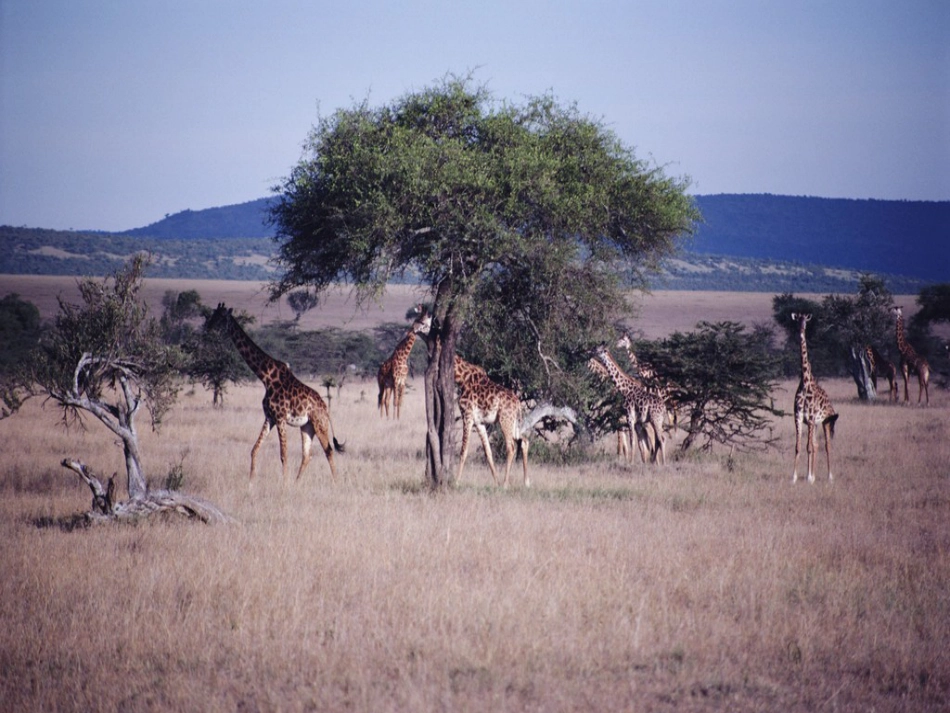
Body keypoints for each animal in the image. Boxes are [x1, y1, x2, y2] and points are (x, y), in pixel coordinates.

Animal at [208, 304, 346, 482]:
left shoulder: (280, 418)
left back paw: (336, 483)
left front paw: (283, 484)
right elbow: (254, 449)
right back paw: (297, 483)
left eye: (220, 317)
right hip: (307, 426)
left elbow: (283, 455)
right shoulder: (270, 417)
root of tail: (326, 409)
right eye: (213, 315)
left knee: (328, 450)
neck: (266, 377)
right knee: (306, 455)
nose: (208, 328)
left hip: (319, 424)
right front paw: (251, 482)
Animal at [452, 356, 528, 490]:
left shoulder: (467, 416)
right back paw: (526, 482)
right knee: (524, 441)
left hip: (505, 420)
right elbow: (488, 452)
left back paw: (505, 484)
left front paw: (456, 482)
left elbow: (463, 451)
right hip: (513, 422)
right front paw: (496, 482)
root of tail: (518, 403)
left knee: (511, 447)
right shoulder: (479, 422)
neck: (461, 378)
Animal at [792, 312, 836, 484]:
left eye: (806, 319)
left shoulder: (810, 419)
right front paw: (795, 477)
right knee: (817, 445)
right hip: (817, 424)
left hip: (825, 422)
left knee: (827, 445)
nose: (801, 328)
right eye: (797, 319)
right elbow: (799, 447)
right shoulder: (799, 417)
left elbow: (808, 447)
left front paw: (809, 477)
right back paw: (813, 475)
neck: (805, 382)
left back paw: (830, 477)